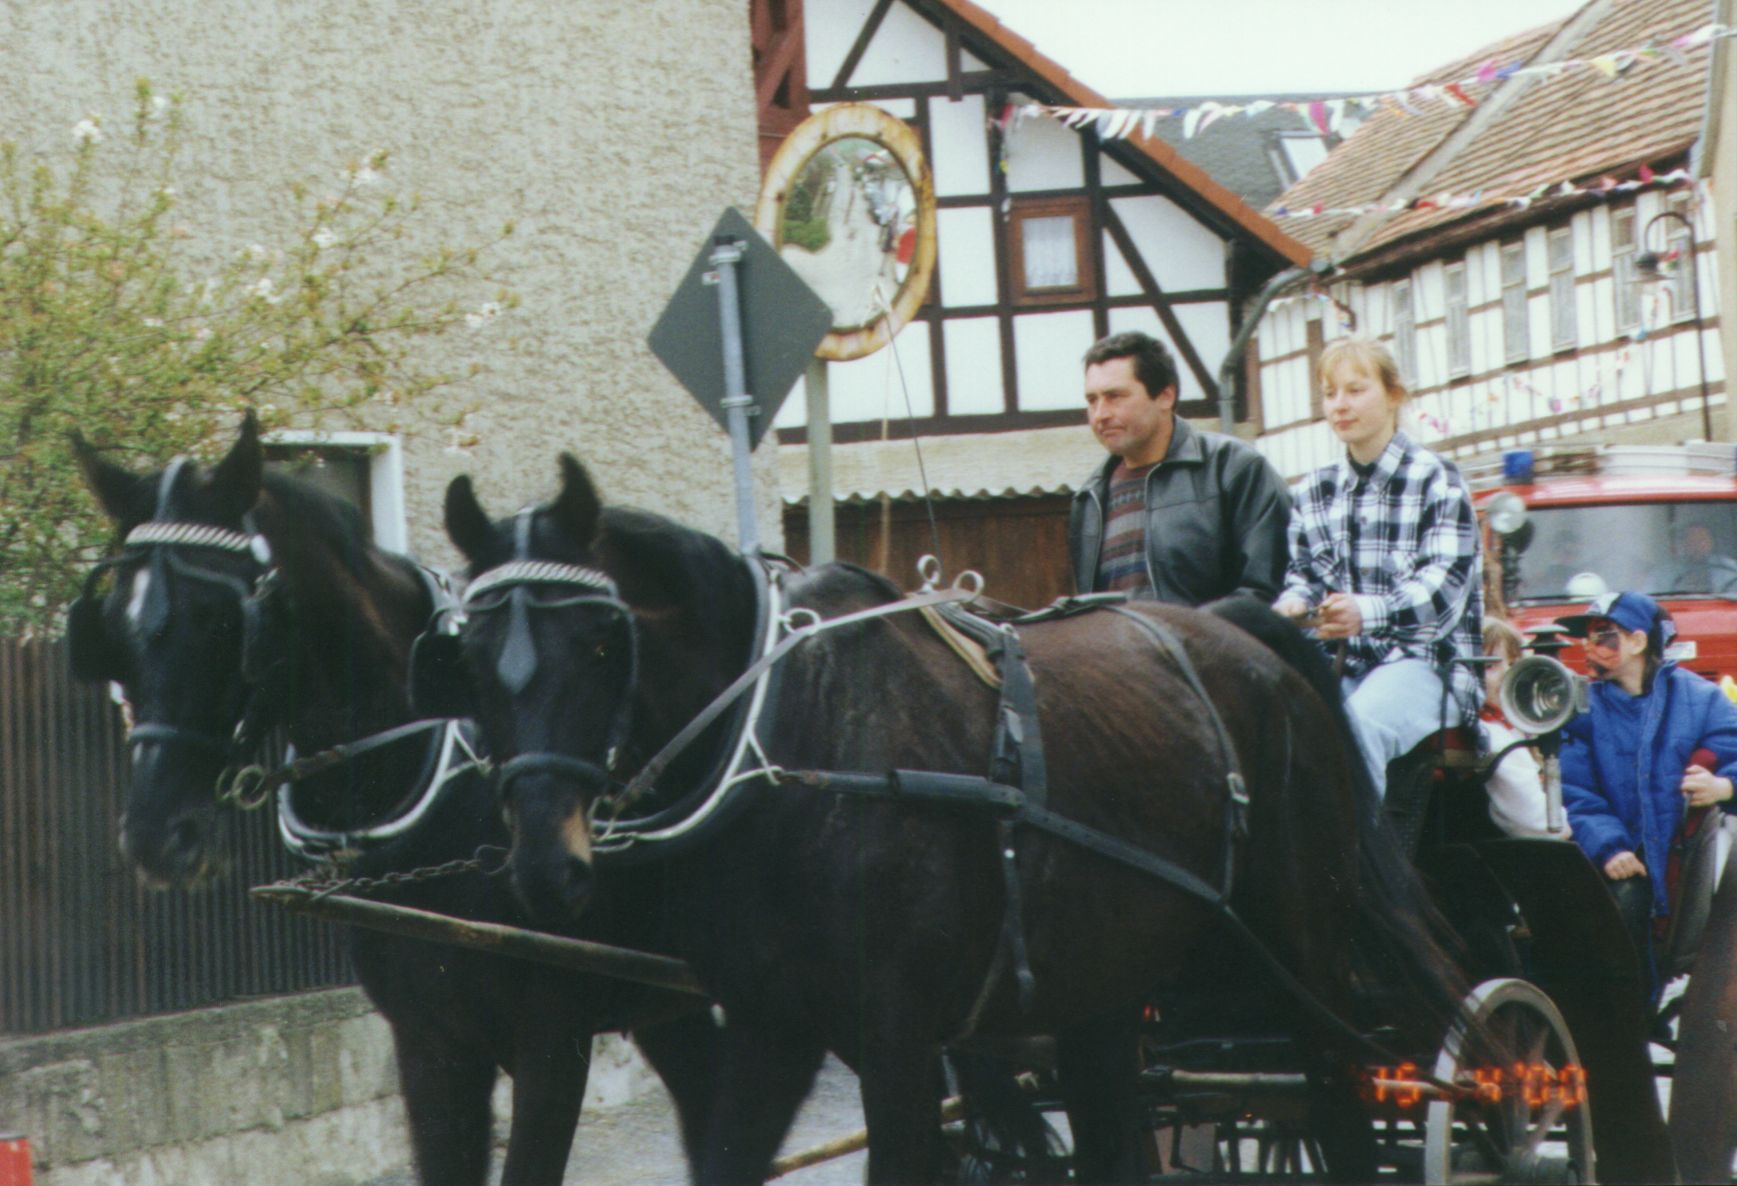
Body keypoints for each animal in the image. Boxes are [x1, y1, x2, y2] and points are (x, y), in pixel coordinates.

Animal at [437, 458, 1466, 1186]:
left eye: (600, 642)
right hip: (1101, 988)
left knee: (1336, 1107)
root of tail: (1252, 643)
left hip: (1301, 960)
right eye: (470, 658)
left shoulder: (895, 1043)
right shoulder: (774, 1028)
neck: (795, 737)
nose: (544, 865)